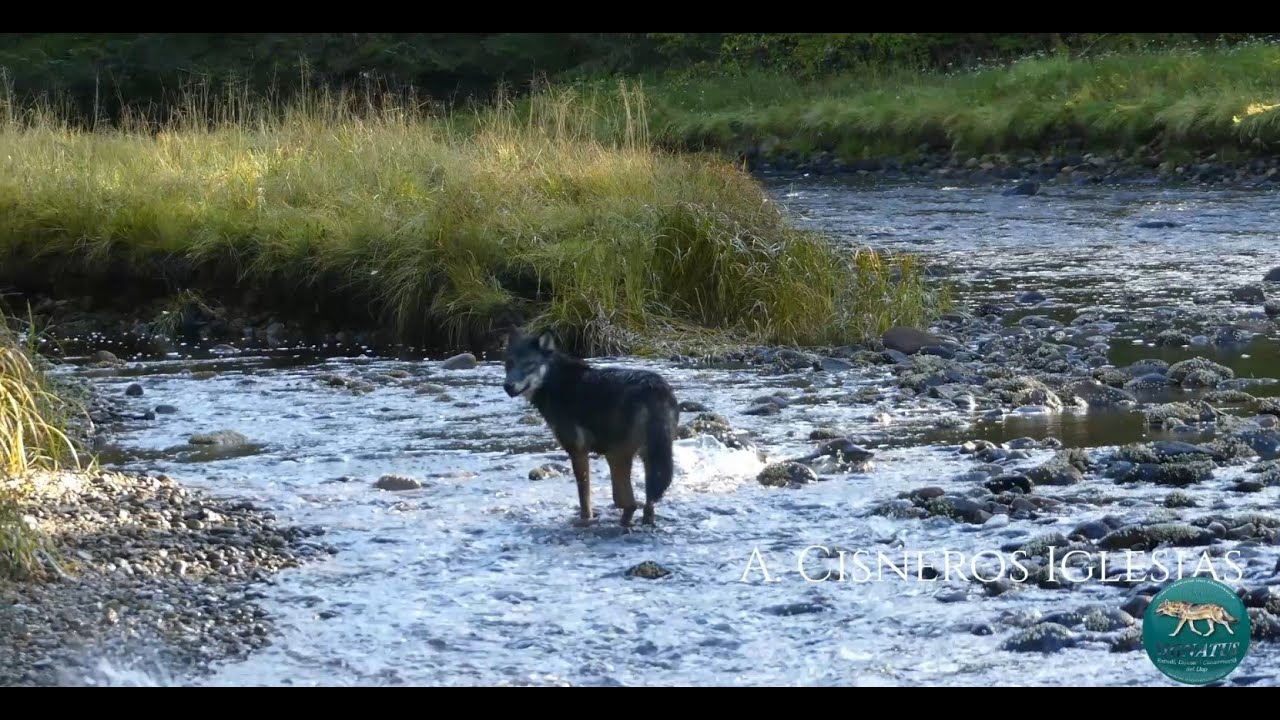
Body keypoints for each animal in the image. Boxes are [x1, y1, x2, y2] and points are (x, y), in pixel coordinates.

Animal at [502, 328, 680, 528]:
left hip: (617, 455)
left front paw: (585, 519)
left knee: (629, 502)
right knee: (648, 501)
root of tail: (656, 388)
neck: (554, 383)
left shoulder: (577, 450)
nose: (508, 386)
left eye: (529, 365)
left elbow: (584, 493)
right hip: (648, 455)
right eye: (510, 364)